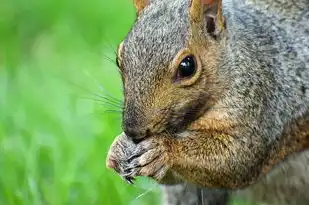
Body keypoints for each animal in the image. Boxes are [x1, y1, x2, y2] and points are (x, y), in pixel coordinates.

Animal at [106, 0, 308, 204]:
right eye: (119, 58)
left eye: (187, 66)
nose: (133, 131)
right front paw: (118, 149)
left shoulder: (267, 107)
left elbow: (238, 160)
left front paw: (163, 149)